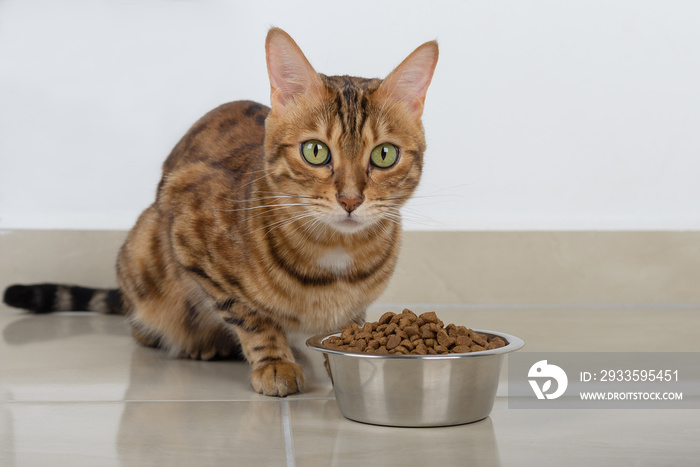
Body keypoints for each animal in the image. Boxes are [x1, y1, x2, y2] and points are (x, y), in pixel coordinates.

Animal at [2, 27, 438, 396]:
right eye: (315, 151)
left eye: (384, 155)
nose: (350, 200)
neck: (336, 257)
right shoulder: (188, 226)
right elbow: (249, 315)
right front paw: (275, 362)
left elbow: (348, 325)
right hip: (144, 249)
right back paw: (198, 342)